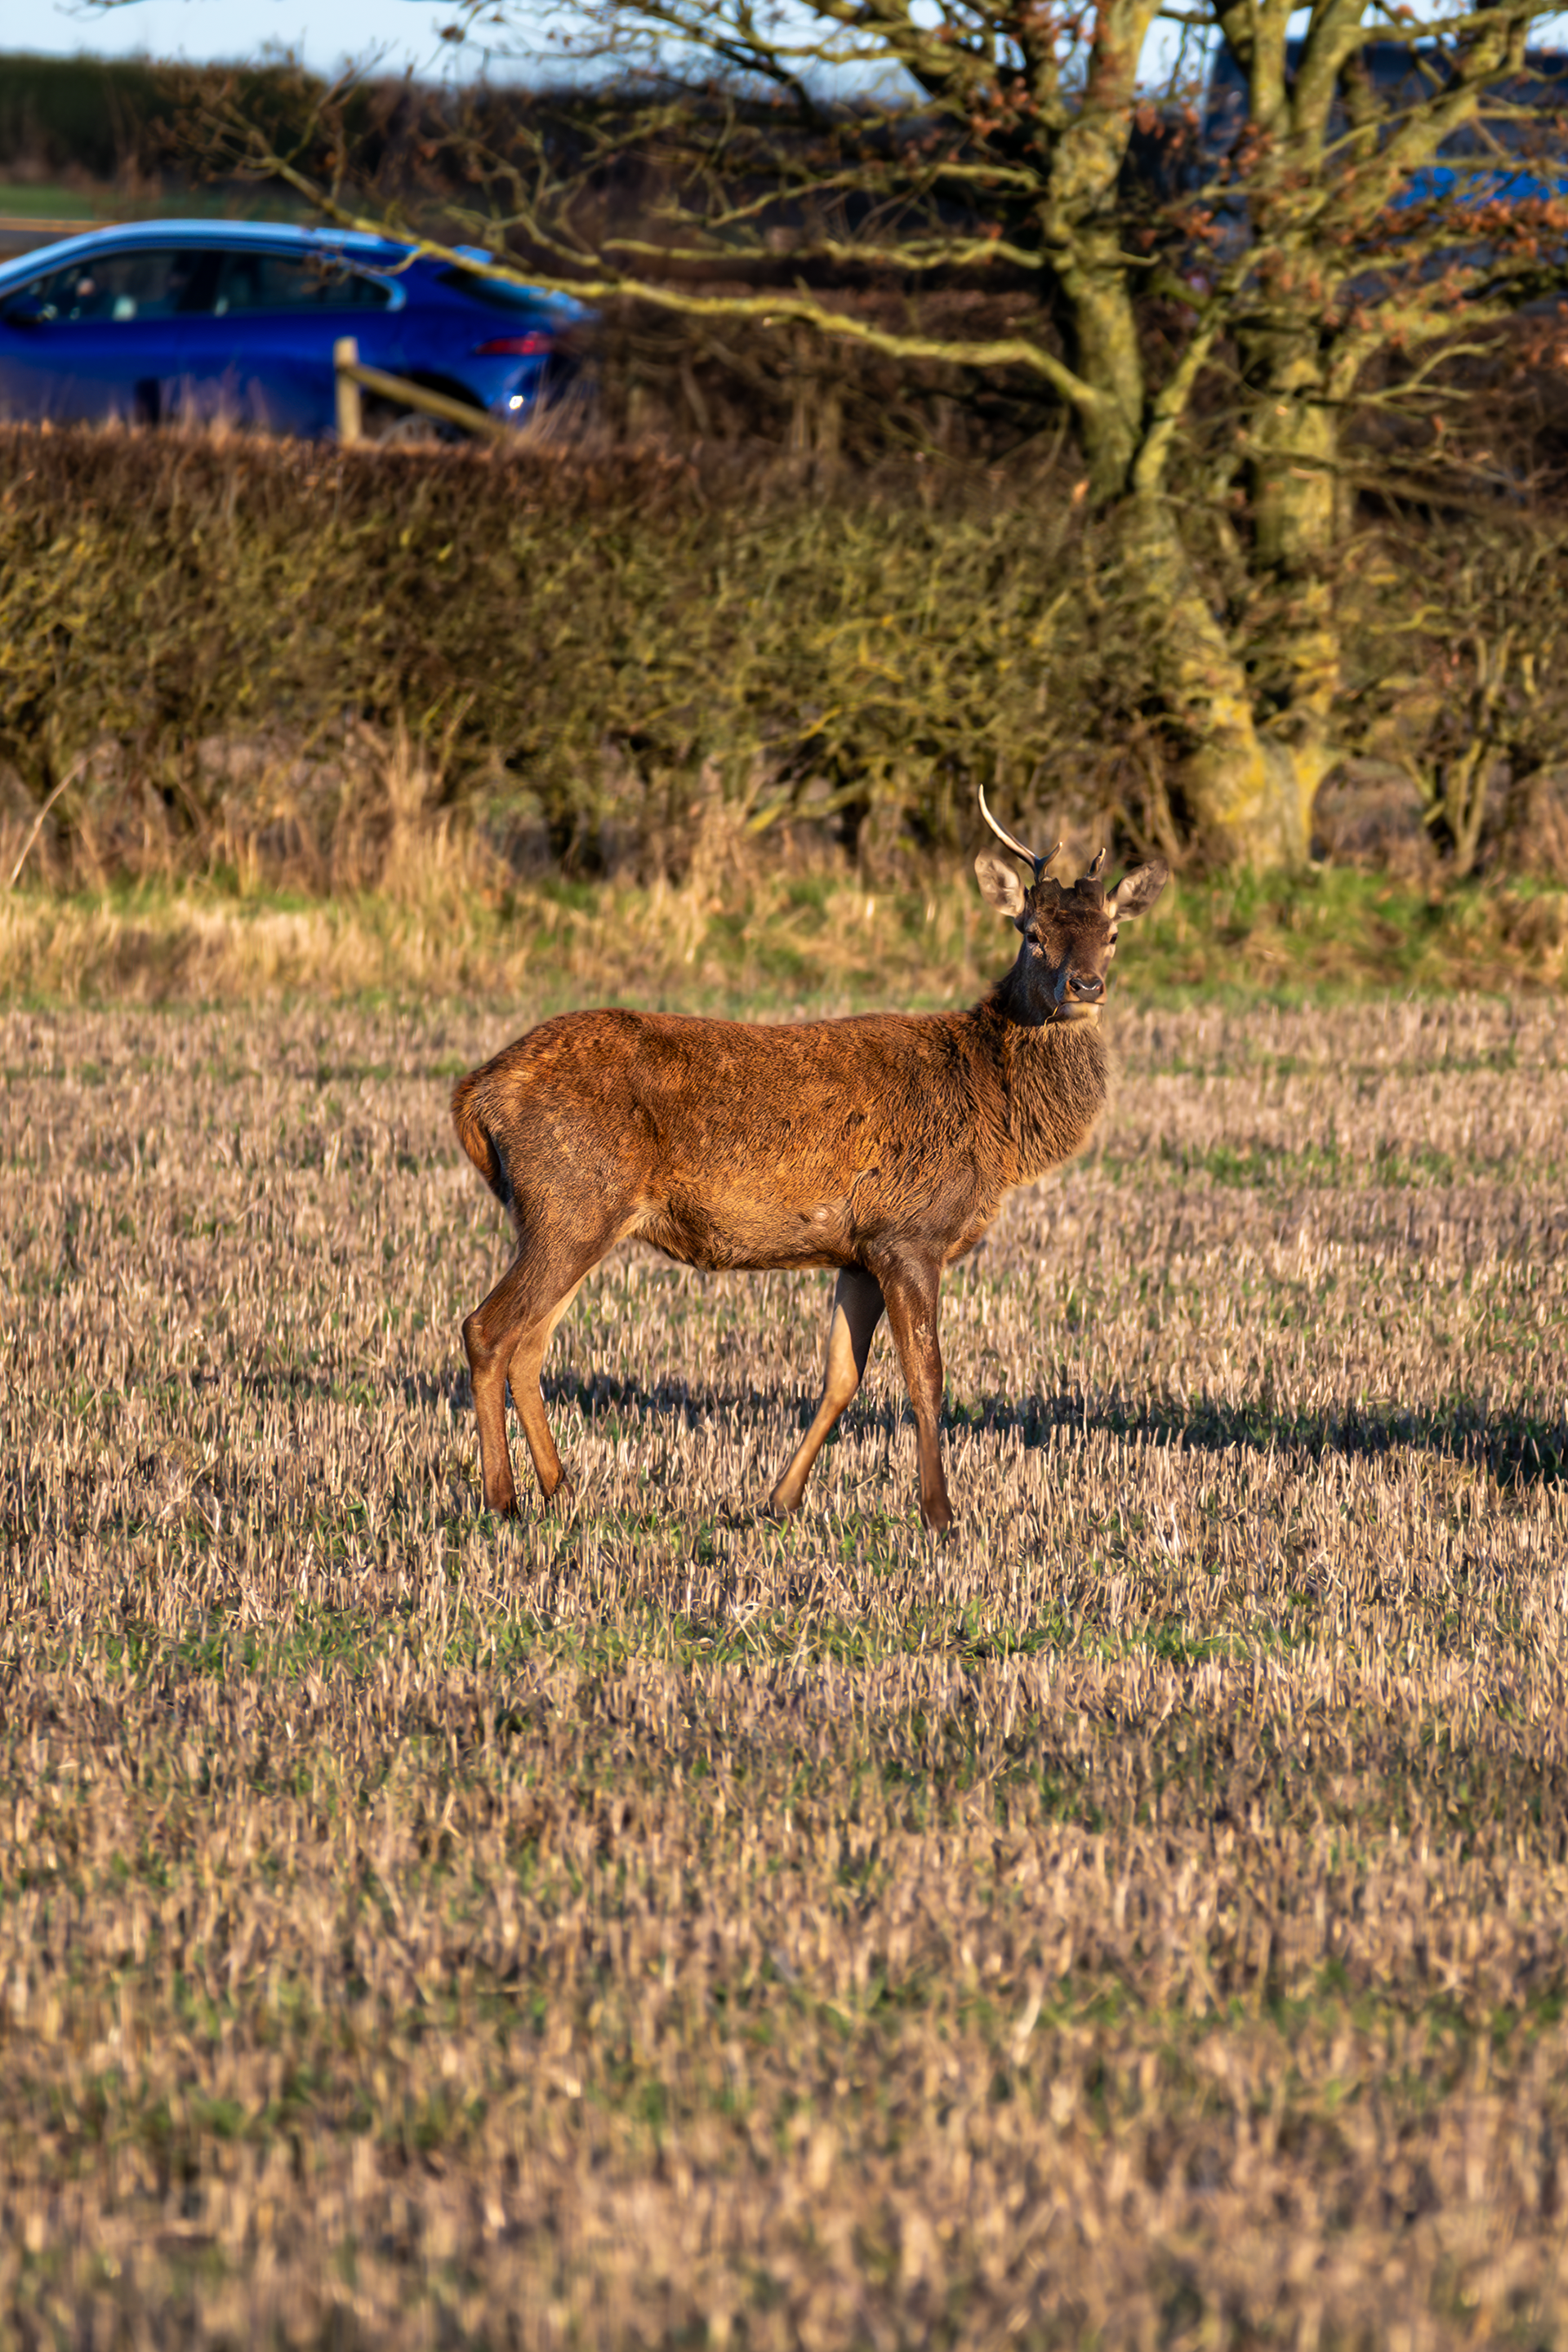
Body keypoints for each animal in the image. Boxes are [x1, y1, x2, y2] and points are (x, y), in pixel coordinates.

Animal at [451, 791, 1167, 1531]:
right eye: (1032, 933)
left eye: (1113, 933)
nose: (1085, 984)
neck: (997, 1123)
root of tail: (475, 1091)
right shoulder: (909, 1232)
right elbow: (926, 1378)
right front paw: (940, 1515)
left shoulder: (858, 1249)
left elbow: (841, 1380)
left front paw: (780, 1498)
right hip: (570, 1201)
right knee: (488, 1329)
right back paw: (502, 1499)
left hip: (573, 1216)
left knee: (532, 1343)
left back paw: (561, 1489)